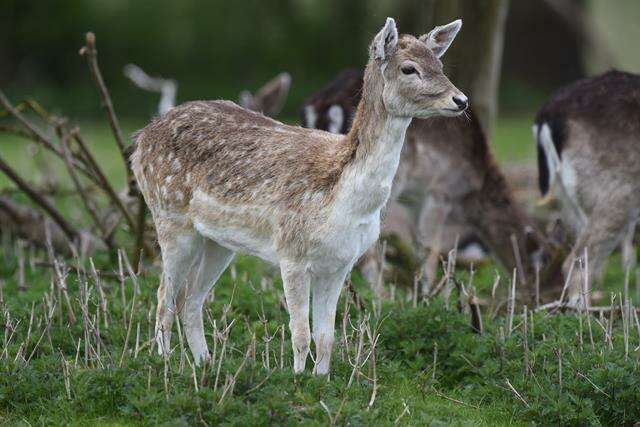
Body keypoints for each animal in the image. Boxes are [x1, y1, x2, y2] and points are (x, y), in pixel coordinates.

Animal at [132, 17, 468, 374]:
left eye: (439, 64)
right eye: (408, 68)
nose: (461, 100)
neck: (343, 200)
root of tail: (140, 139)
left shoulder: (340, 263)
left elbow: (327, 337)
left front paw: (322, 379)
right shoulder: (291, 252)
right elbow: (300, 333)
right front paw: (295, 379)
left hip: (218, 241)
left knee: (191, 300)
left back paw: (206, 364)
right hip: (169, 216)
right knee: (164, 296)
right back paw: (166, 363)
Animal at [300, 68, 560, 300]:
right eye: (544, 265)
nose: (547, 300)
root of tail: (323, 107)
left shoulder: (414, 200)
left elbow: (417, 244)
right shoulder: (440, 191)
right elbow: (430, 247)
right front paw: (431, 296)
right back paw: (379, 297)